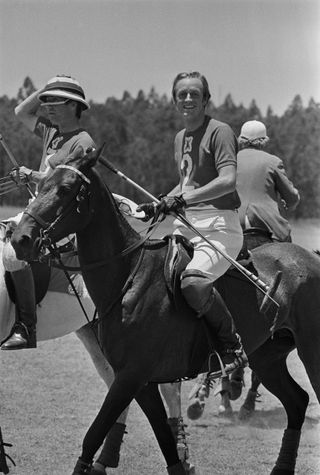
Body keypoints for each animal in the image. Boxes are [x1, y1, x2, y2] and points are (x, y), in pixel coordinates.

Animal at [10, 147, 320, 474]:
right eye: (41, 185)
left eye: (66, 189)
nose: (20, 239)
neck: (128, 276)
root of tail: (311, 257)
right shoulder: (140, 381)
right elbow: (164, 439)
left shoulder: (130, 375)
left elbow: (94, 433)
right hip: (267, 356)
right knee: (297, 401)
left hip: (310, 350)